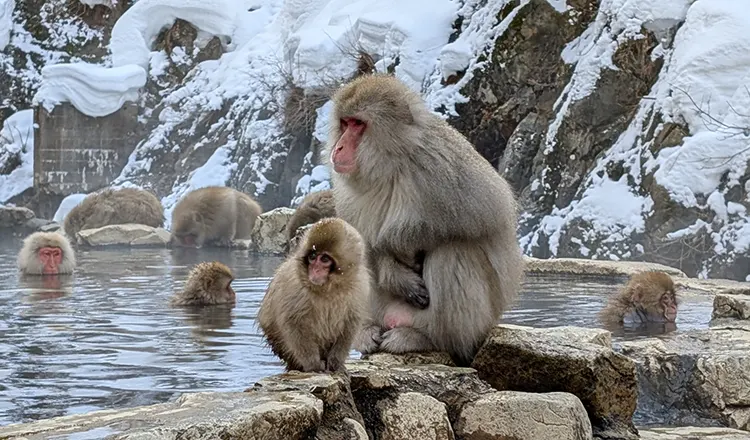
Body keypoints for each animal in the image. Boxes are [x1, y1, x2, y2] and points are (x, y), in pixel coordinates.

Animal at [257, 218, 370, 373]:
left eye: (324, 259)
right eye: (312, 257)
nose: (315, 270)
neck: (328, 289)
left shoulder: (360, 285)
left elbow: (351, 323)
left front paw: (335, 363)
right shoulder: (293, 284)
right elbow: (293, 322)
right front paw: (314, 364)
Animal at [325, 74, 524, 367]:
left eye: (358, 124)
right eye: (345, 123)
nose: (338, 147)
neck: (390, 165)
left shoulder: (440, 163)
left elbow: (488, 215)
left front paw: (399, 241)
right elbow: (364, 245)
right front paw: (394, 272)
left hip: (474, 322)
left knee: (453, 251)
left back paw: (429, 339)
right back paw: (367, 331)